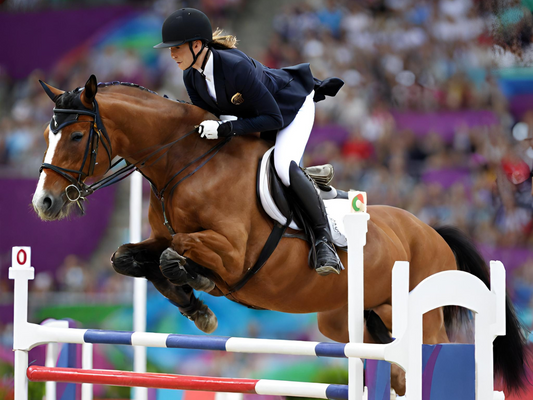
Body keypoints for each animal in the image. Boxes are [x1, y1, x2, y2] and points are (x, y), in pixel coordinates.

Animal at [33, 76, 528, 396]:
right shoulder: (158, 239)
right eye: (47, 133)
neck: (185, 164)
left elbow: (178, 255)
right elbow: (127, 257)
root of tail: (431, 232)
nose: (44, 203)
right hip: (347, 321)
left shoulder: (233, 252)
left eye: (75, 136)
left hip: (422, 319)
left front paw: (198, 287)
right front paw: (197, 309)